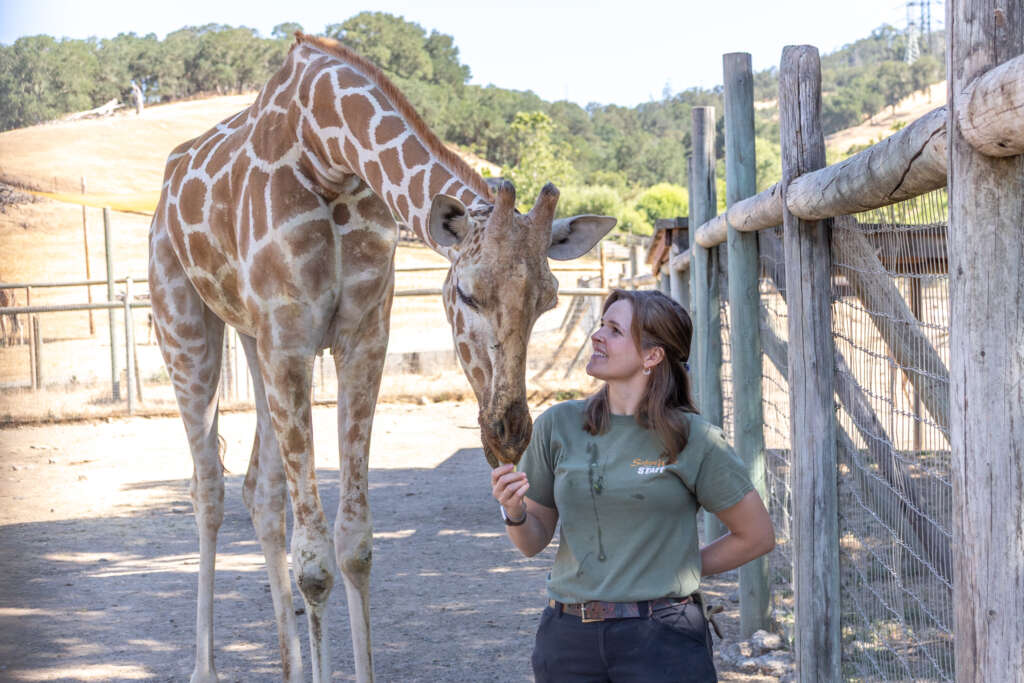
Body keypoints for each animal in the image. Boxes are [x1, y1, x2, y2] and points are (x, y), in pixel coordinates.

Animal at [148, 33, 614, 683]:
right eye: (466, 292)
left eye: (548, 300)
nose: (509, 432)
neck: (330, 155)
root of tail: (167, 187)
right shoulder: (291, 340)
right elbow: (314, 564)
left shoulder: (363, 337)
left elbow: (355, 545)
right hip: (184, 323)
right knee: (207, 489)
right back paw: (204, 669)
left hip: (250, 338)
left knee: (260, 491)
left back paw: (289, 667)